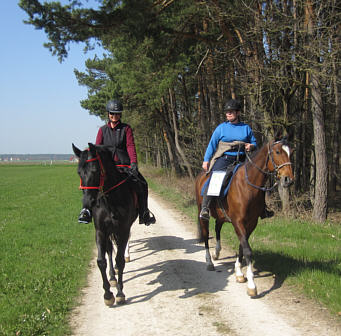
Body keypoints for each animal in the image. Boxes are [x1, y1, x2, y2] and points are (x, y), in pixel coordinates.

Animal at [71, 143, 137, 306]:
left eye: (95, 170)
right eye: (79, 172)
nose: (88, 202)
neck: (110, 200)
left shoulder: (123, 229)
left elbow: (119, 260)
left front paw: (120, 293)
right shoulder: (100, 231)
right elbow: (101, 260)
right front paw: (108, 294)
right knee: (109, 250)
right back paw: (112, 277)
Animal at [195, 139, 294, 296]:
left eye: (291, 152)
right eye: (278, 152)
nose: (288, 180)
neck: (248, 186)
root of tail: (201, 175)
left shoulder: (251, 223)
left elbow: (243, 245)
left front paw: (239, 272)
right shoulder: (238, 222)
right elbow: (247, 250)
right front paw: (252, 285)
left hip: (221, 216)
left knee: (217, 229)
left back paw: (217, 252)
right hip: (202, 214)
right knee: (206, 235)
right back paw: (209, 262)